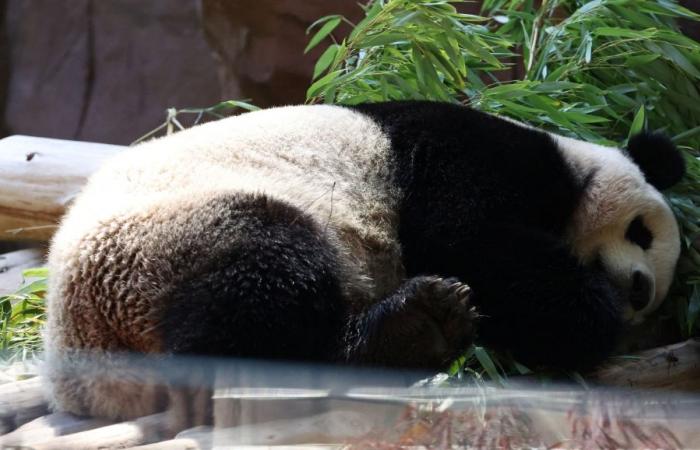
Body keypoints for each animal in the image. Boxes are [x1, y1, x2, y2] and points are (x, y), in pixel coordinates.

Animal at [42, 100, 684, 420]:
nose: (639, 290)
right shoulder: (468, 154)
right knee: (265, 282)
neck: (575, 165)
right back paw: (407, 331)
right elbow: (465, 236)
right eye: (642, 232)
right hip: (177, 235)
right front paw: (590, 317)